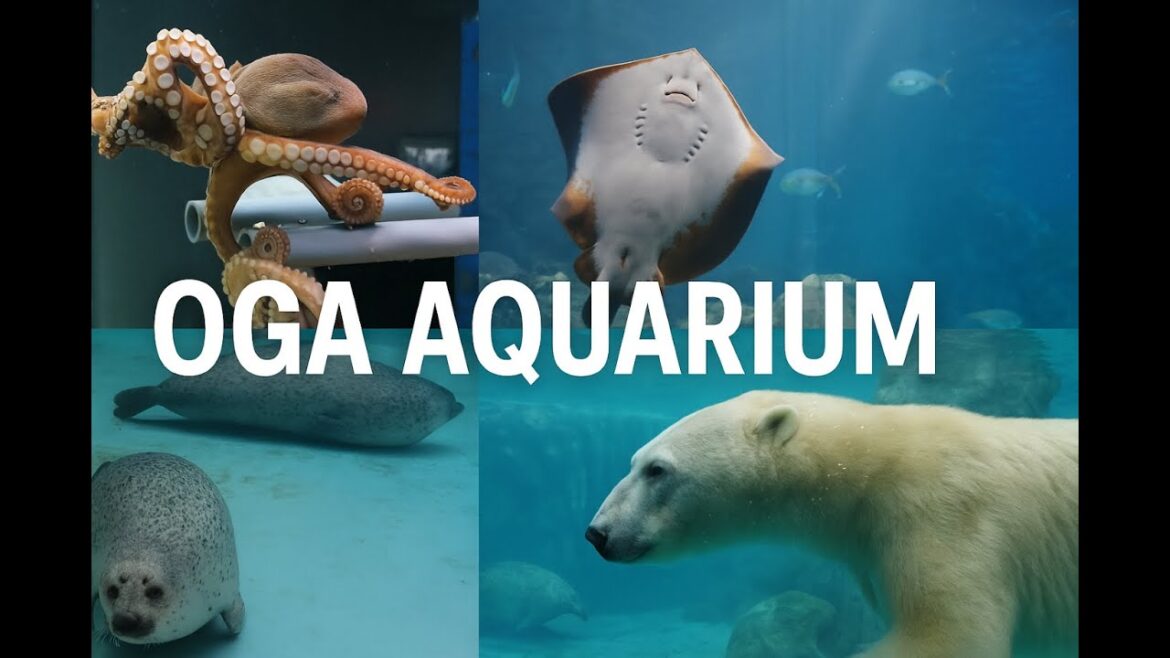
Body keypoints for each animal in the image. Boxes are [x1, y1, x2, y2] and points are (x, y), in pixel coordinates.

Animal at [585, 390, 1078, 658]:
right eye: (634, 462)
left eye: (657, 470)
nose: (597, 533)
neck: (872, 467)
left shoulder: (945, 513)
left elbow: (950, 634)